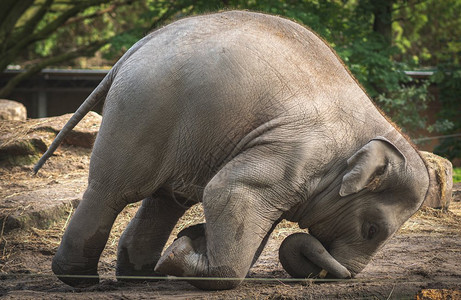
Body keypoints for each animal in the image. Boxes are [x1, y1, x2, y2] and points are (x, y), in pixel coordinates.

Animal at [34, 10, 430, 290]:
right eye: (372, 231)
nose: (342, 276)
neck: (372, 128)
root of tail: (137, 47)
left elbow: (257, 220)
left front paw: (191, 245)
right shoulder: (299, 150)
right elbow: (231, 191)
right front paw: (183, 252)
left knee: (165, 201)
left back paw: (144, 277)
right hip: (143, 110)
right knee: (113, 191)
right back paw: (83, 280)